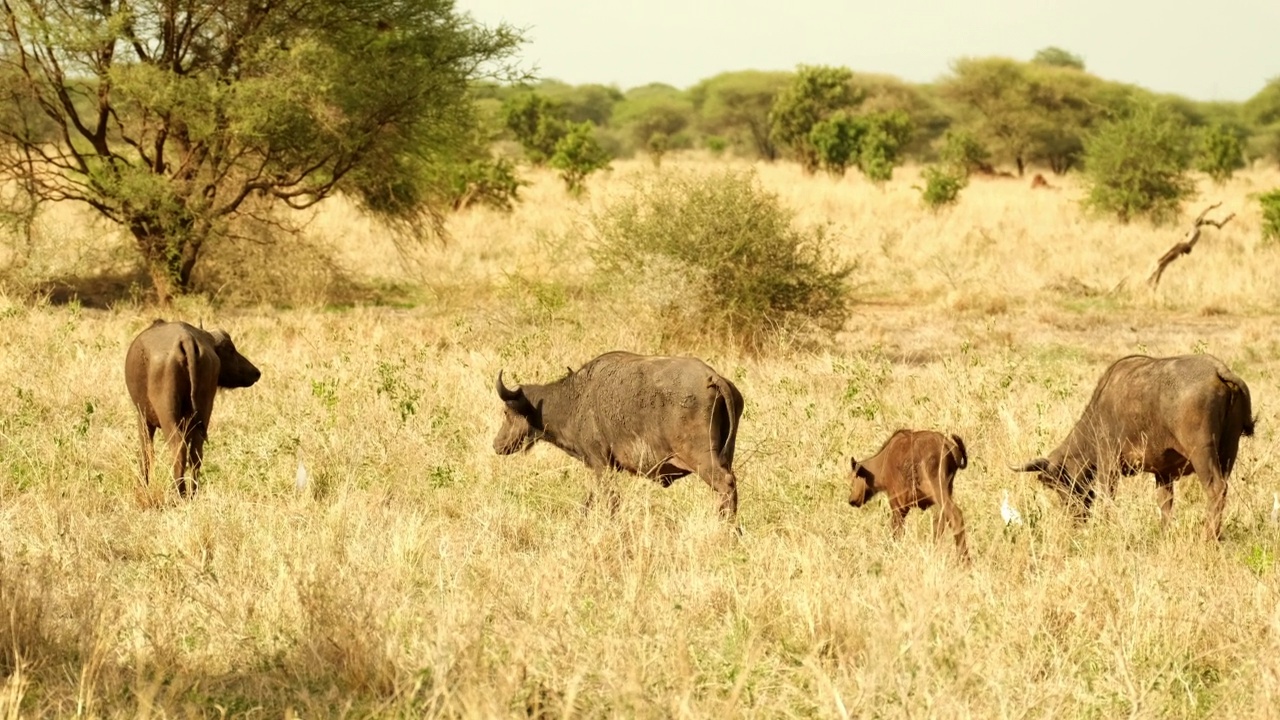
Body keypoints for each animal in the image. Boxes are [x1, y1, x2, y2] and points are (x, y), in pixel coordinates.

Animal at [123, 317, 261, 491]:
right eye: (230, 349)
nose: (256, 372)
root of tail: (187, 339)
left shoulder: (143, 418)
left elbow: (146, 452)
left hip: (166, 413)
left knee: (178, 448)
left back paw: (178, 491)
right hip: (203, 411)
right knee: (196, 452)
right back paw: (192, 492)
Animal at [491, 351, 747, 517]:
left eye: (506, 412)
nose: (497, 444)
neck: (576, 398)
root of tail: (713, 378)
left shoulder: (601, 463)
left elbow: (609, 500)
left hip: (704, 461)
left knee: (726, 485)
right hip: (726, 456)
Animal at [844, 427, 962, 558]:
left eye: (854, 478)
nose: (852, 500)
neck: (882, 463)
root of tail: (950, 447)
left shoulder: (897, 503)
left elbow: (897, 531)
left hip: (938, 491)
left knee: (956, 516)